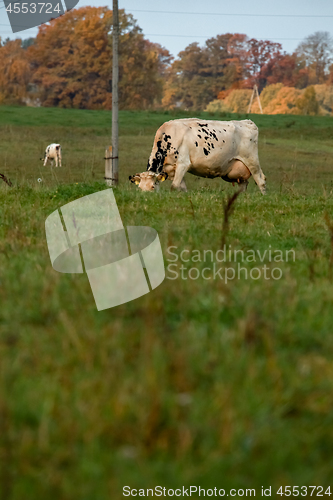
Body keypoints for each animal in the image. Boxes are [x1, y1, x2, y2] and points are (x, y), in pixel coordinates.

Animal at [128, 118, 266, 194]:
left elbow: (174, 186)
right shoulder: (172, 170)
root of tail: (247, 122)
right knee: (243, 185)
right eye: (139, 188)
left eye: (152, 187)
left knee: (261, 181)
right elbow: (182, 187)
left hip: (252, 161)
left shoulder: (183, 164)